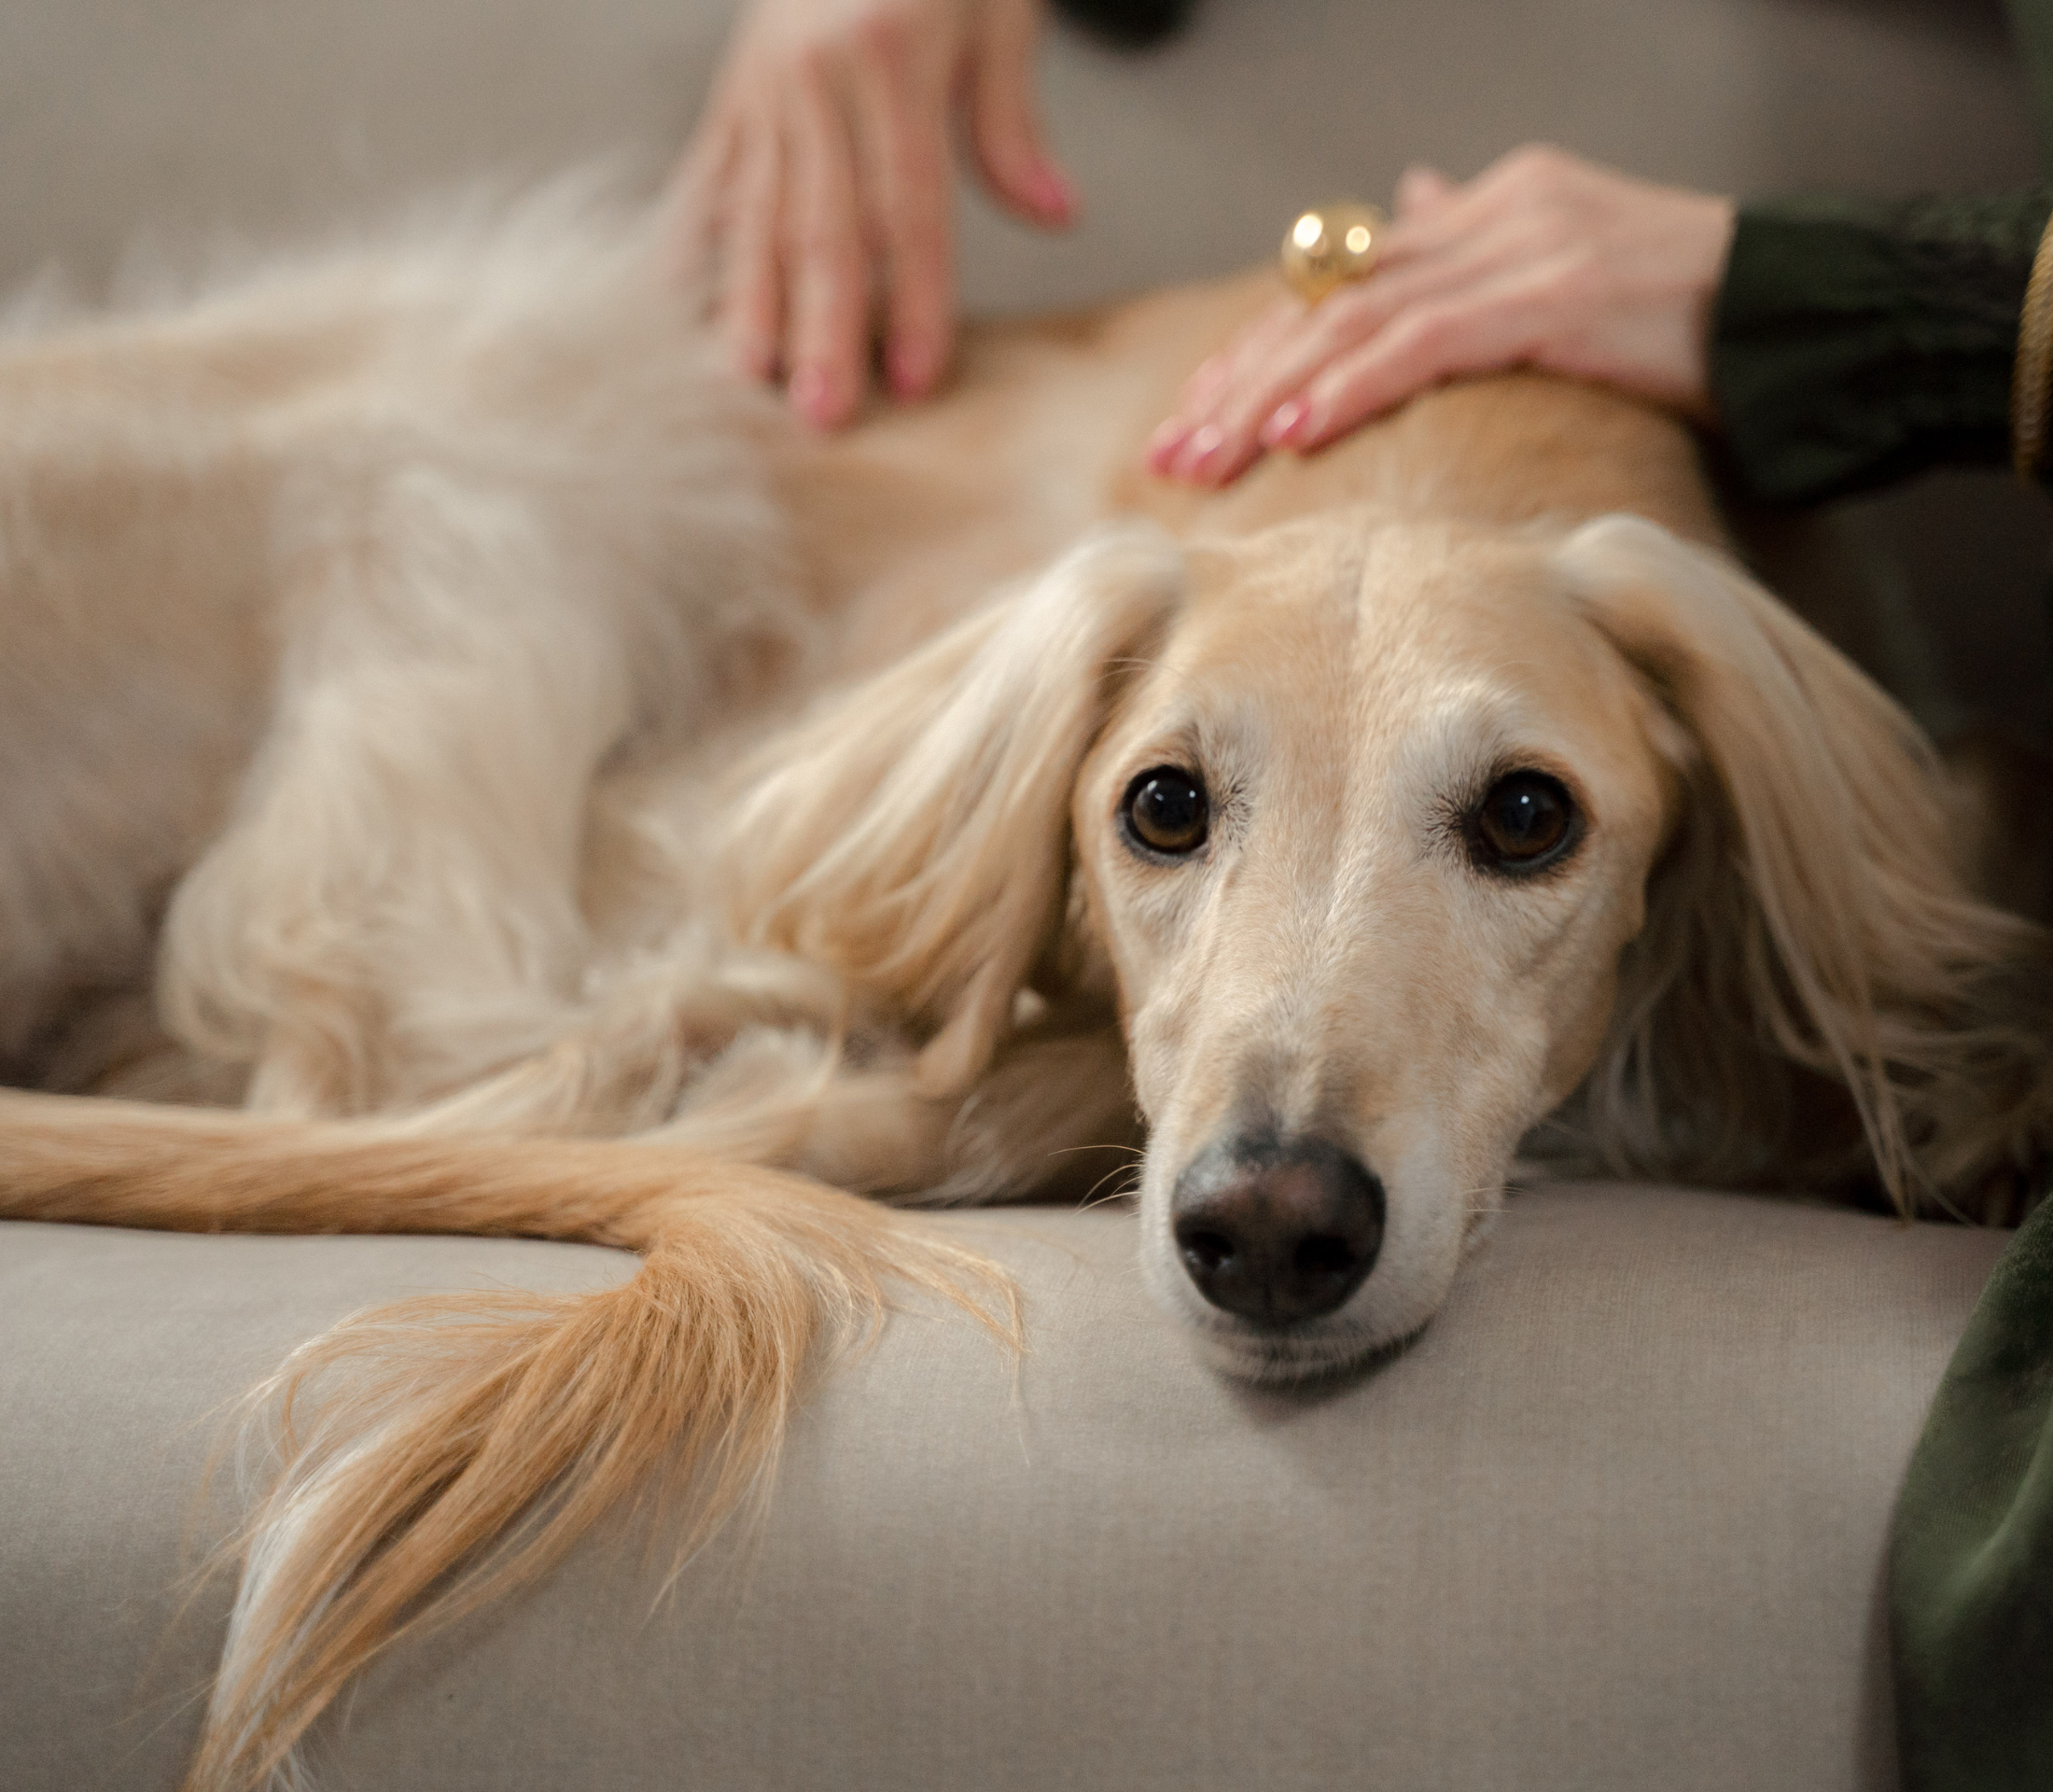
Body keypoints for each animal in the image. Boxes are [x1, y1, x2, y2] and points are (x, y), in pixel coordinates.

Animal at [4, 189, 2053, 1782]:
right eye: (1160, 804)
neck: (1442, 435)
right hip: (510, 432)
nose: (1268, 1234)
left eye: (1530, 816)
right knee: (381, 1041)